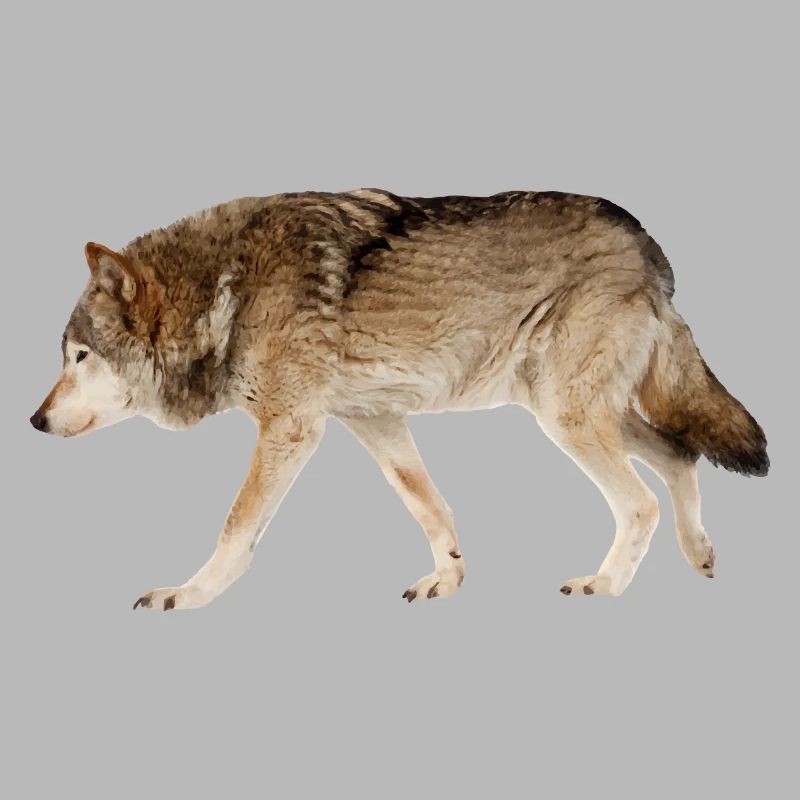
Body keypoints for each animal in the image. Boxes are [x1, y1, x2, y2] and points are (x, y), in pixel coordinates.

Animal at [30, 190, 769, 610]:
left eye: (78, 357)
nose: (33, 420)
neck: (226, 290)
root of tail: (649, 247)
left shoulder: (291, 428)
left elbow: (236, 528)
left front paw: (186, 595)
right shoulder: (374, 421)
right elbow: (430, 507)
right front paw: (448, 581)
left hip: (568, 416)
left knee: (641, 500)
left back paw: (605, 586)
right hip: (571, 411)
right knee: (678, 453)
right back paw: (700, 555)